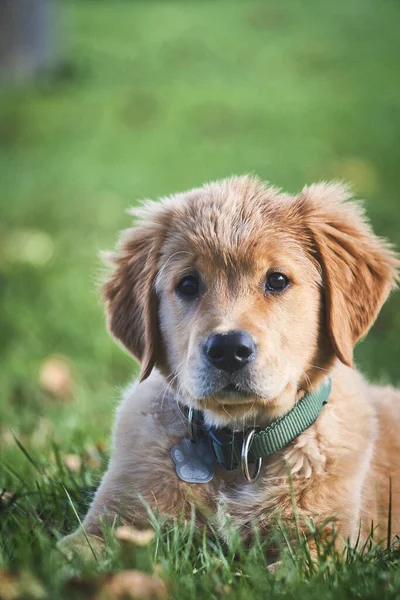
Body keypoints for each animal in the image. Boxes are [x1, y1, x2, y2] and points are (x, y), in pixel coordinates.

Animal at [63, 176, 400, 556]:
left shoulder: (318, 544)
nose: (227, 349)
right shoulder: (110, 522)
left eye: (277, 280)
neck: (239, 450)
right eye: (188, 284)